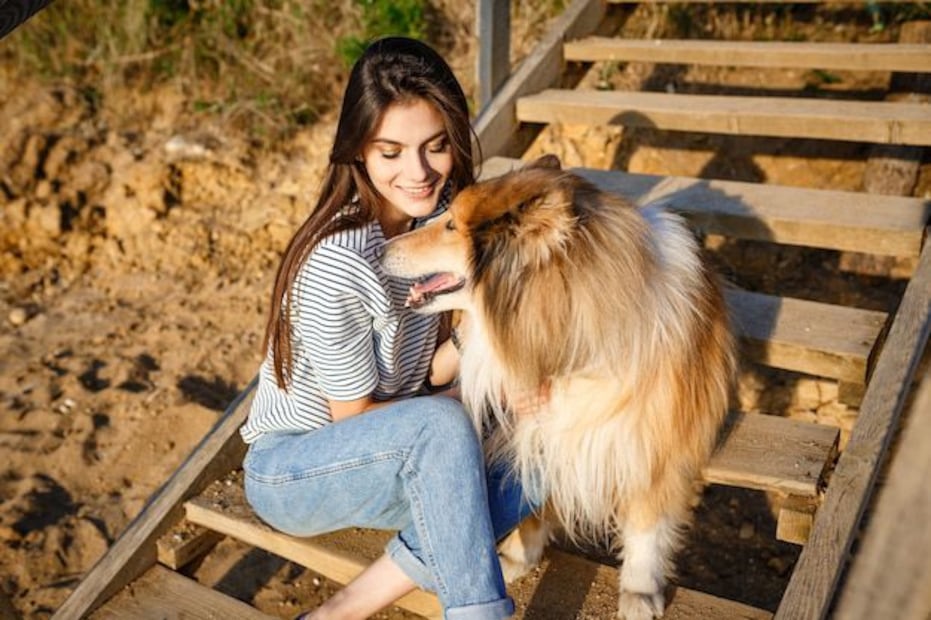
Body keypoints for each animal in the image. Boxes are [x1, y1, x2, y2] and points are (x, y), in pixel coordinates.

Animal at [378, 156, 736, 620]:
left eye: (452, 225)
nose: (380, 249)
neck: (565, 343)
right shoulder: (536, 428)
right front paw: (517, 556)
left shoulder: (655, 441)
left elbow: (647, 524)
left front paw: (639, 592)